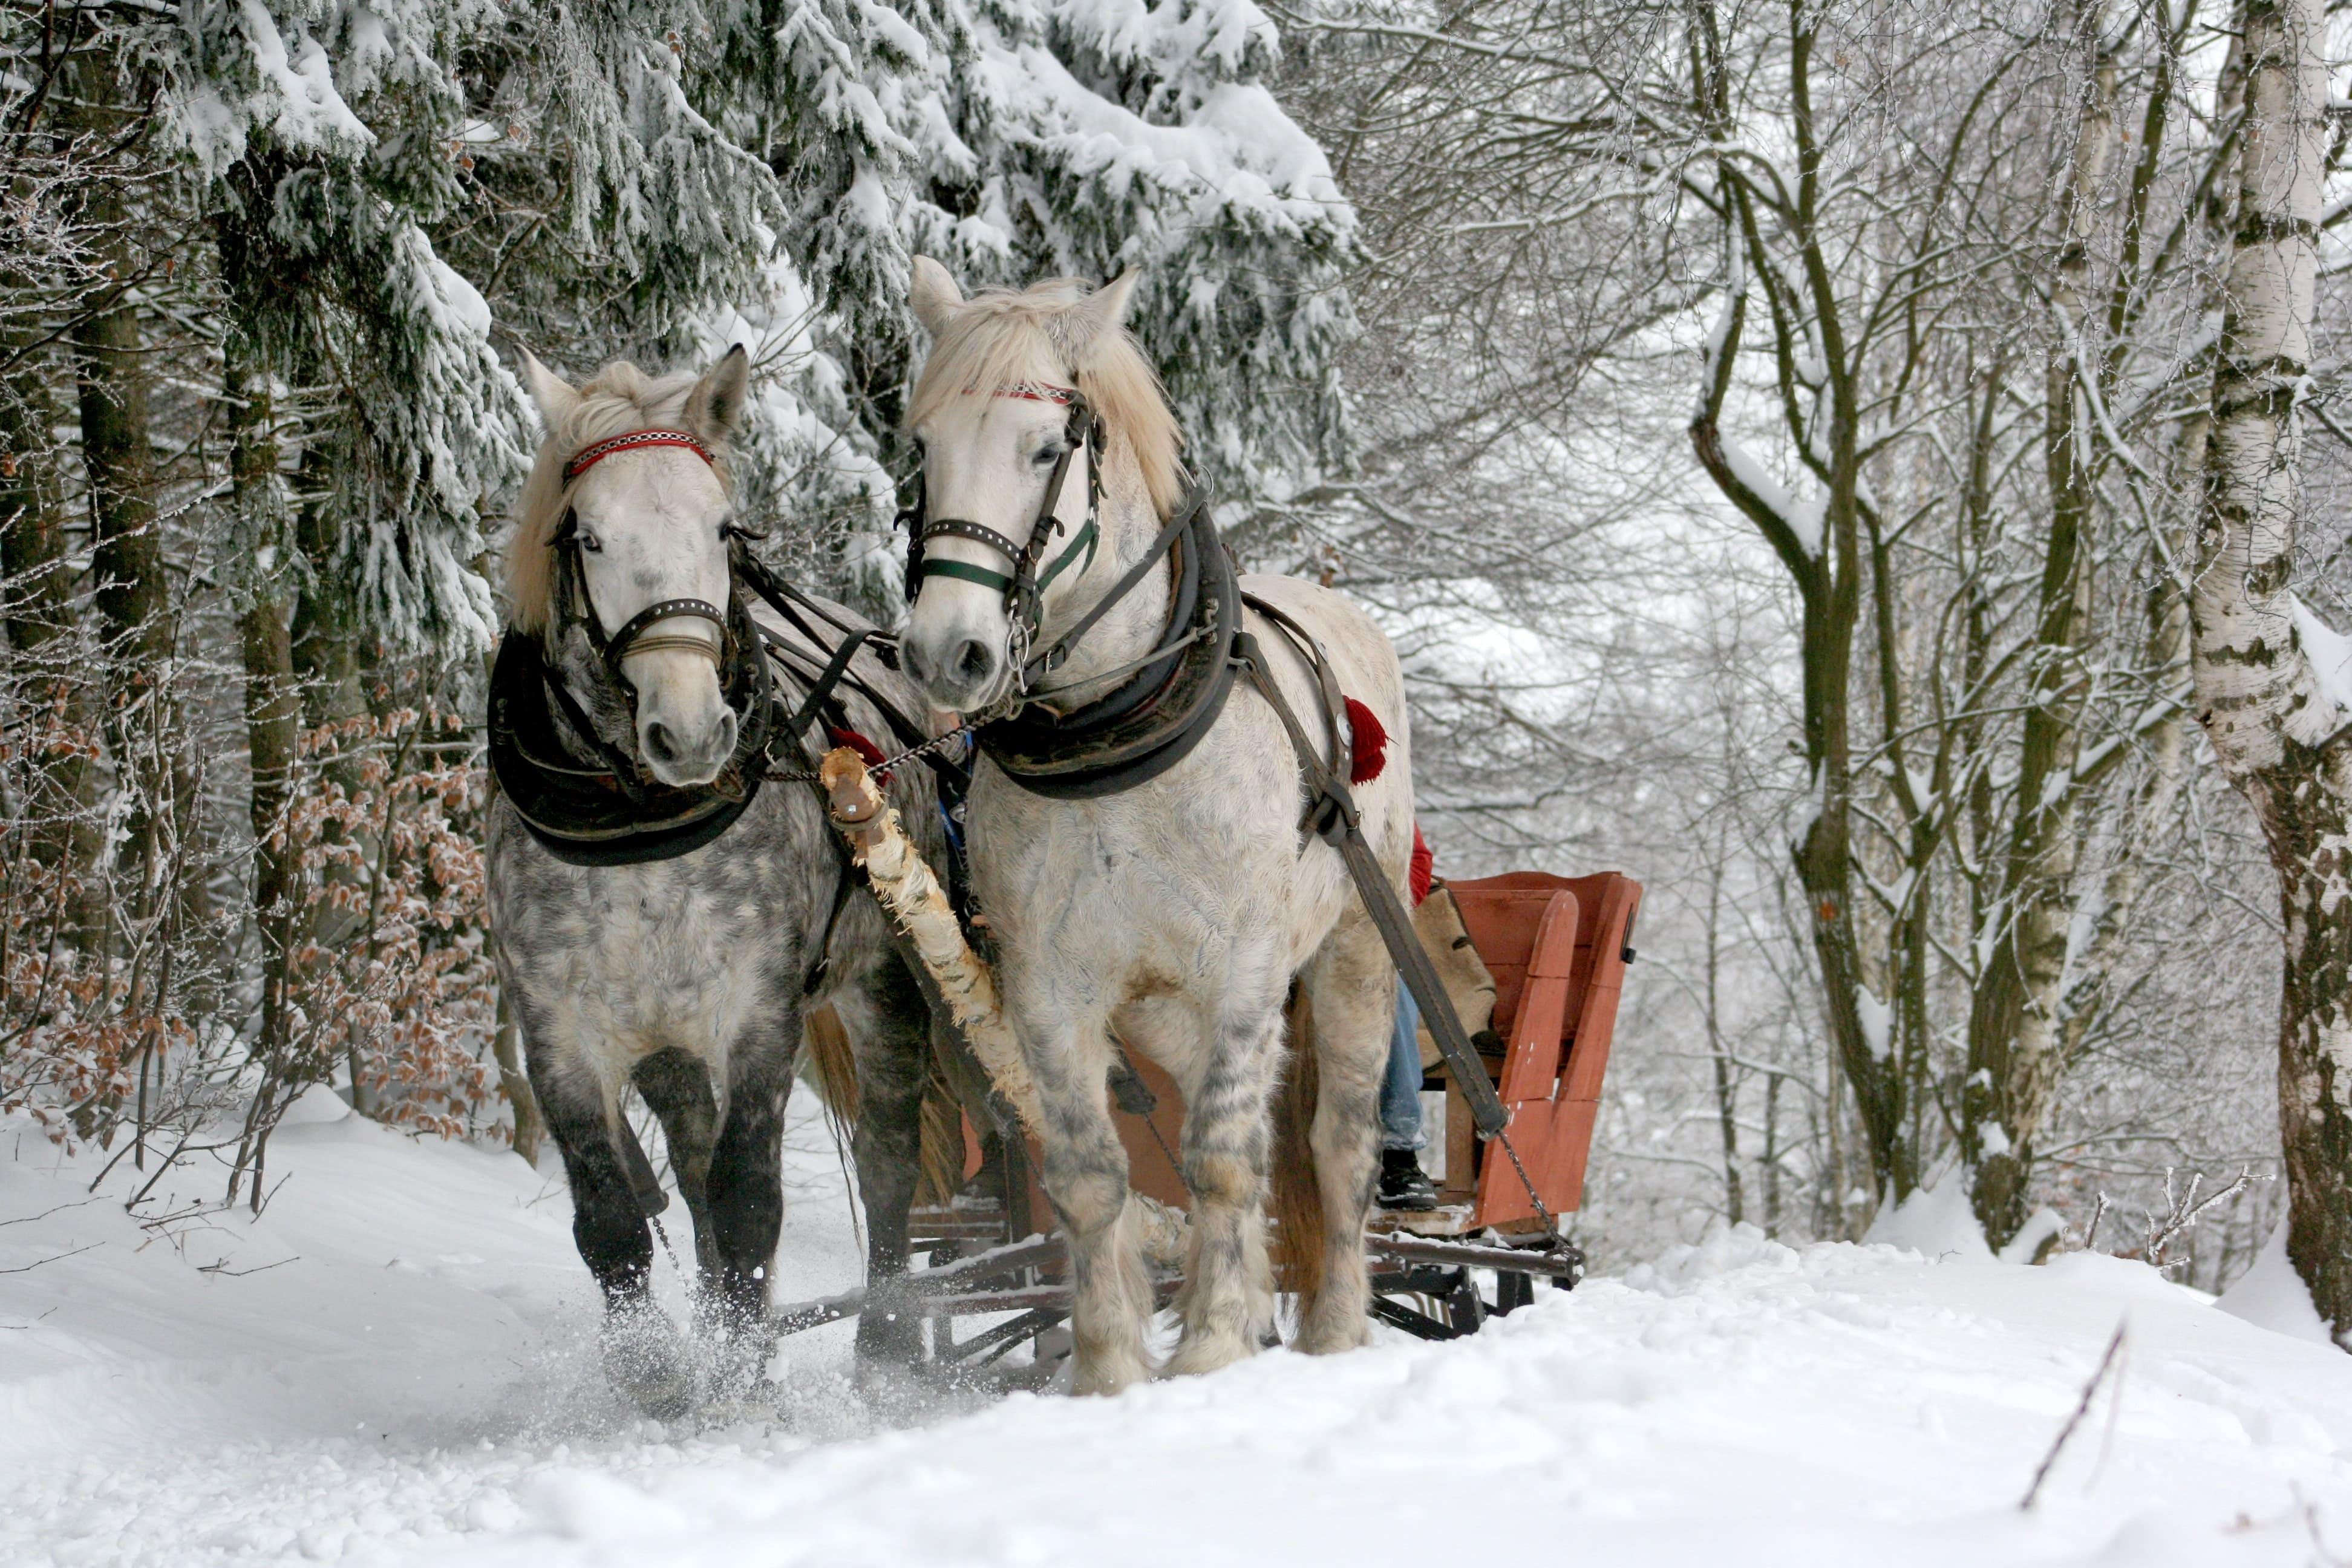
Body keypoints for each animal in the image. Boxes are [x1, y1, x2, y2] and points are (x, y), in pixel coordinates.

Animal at [893, 263, 1411, 1391]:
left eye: (1046, 449)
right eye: (923, 448)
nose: (947, 654)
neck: (1114, 733)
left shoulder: (1247, 968)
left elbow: (1220, 1156)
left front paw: (1212, 1345)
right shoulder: (1048, 986)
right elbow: (1093, 1173)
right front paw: (1110, 1367)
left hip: (1353, 951)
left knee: (1333, 1142)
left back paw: (1335, 1328)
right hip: (1166, 1007)